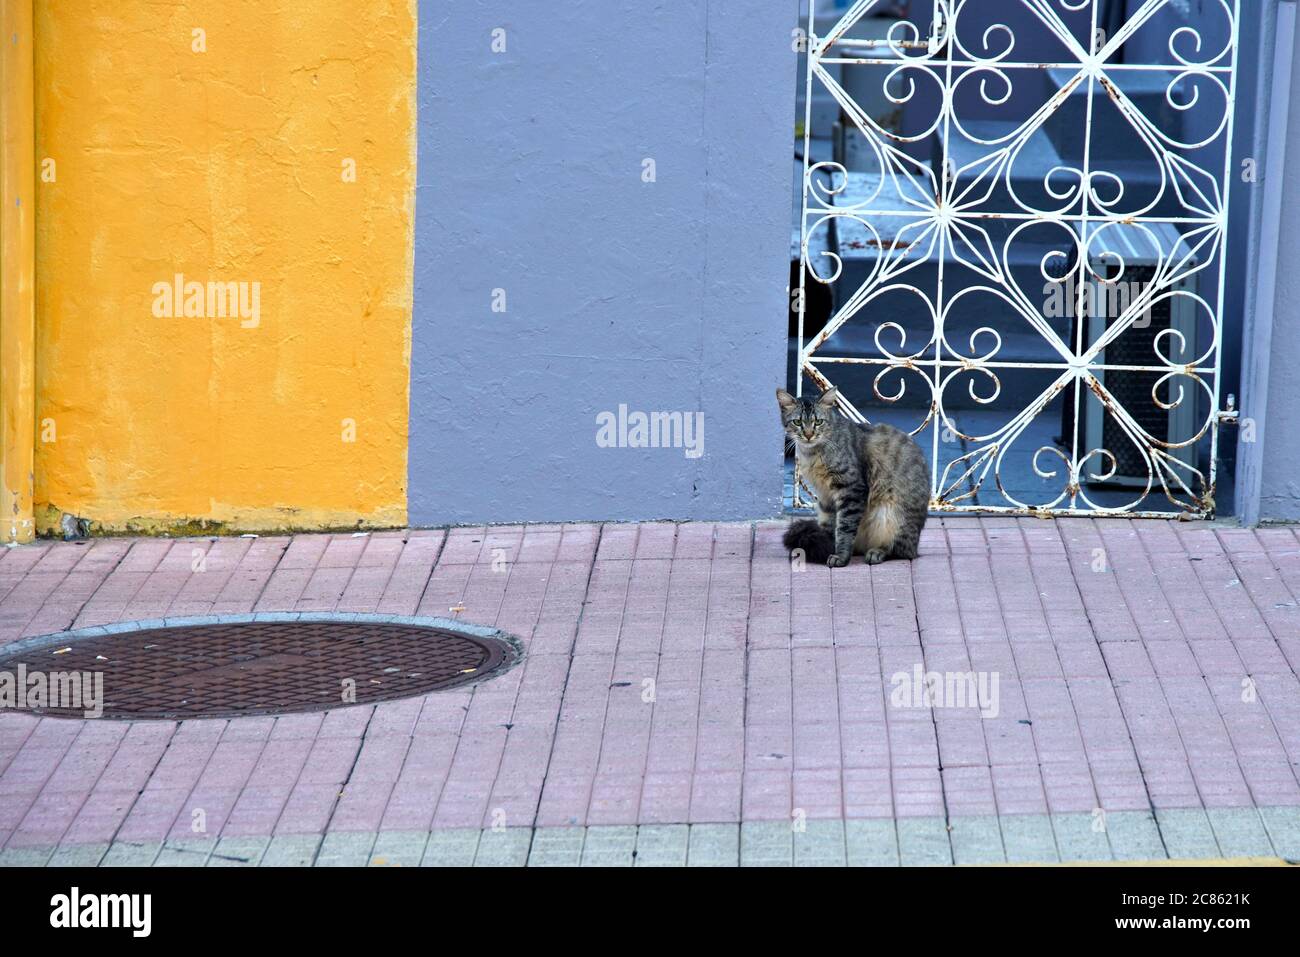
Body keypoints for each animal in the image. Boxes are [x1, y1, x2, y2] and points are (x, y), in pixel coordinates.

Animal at [774, 390, 930, 564]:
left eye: (819, 422)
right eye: (797, 422)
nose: (808, 435)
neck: (812, 454)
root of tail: (916, 547)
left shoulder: (851, 488)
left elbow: (844, 527)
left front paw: (840, 556)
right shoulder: (825, 496)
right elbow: (830, 527)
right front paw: (824, 546)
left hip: (890, 516)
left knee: (900, 551)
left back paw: (877, 552)